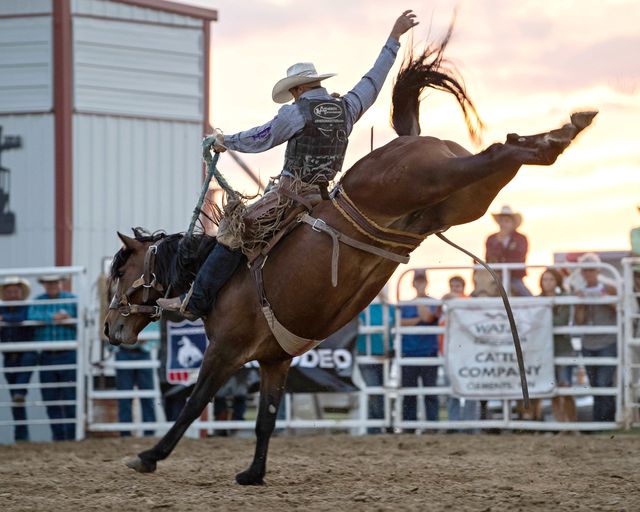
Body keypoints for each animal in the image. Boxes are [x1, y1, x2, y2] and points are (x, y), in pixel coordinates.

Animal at [102, 27, 596, 484]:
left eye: (120, 271)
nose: (110, 329)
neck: (218, 278)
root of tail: (411, 140)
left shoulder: (223, 351)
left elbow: (192, 405)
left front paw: (148, 456)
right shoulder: (275, 360)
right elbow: (266, 419)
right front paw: (253, 473)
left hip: (430, 179)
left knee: (495, 151)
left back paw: (559, 135)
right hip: (459, 200)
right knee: (497, 159)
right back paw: (561, 134)